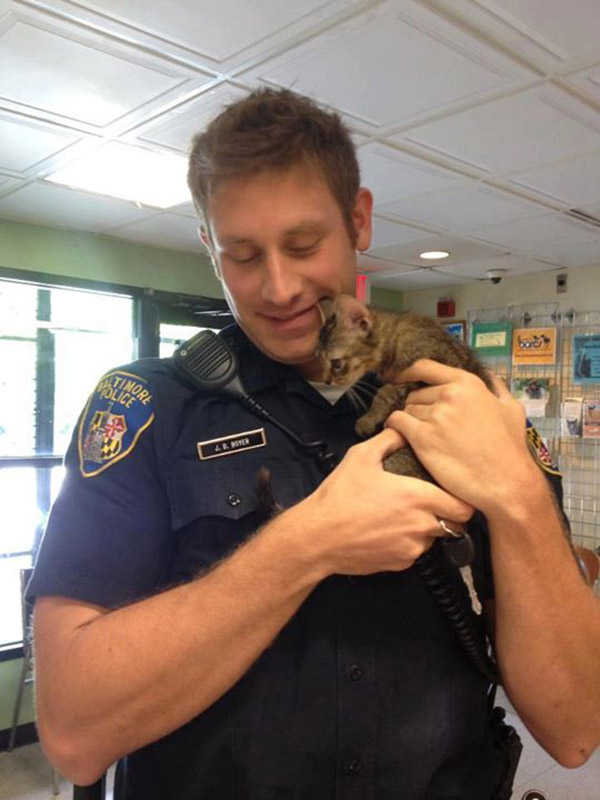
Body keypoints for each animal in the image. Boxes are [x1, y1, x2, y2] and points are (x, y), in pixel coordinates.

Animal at [316, 294, 494, 482]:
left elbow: (385, 392)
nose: (326, 381)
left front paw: (368, 420)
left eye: (336, 363)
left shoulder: (431, 366)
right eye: (319, 359)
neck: (395, 337)